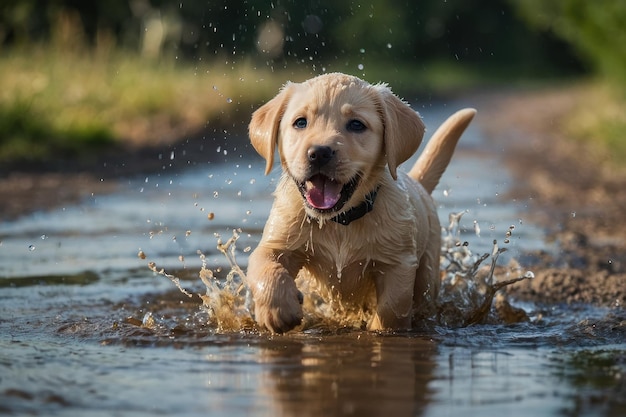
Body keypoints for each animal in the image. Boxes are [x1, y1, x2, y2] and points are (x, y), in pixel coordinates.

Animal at [244, 71, 472, 332]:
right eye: (300, 122)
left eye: (356, 125)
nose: (319, 153)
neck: (339, 221)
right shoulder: (277, 243)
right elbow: (264, 267)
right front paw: (278, 310)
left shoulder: (398, 262)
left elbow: (393, 306)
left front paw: (378, 328)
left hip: (428, 269)